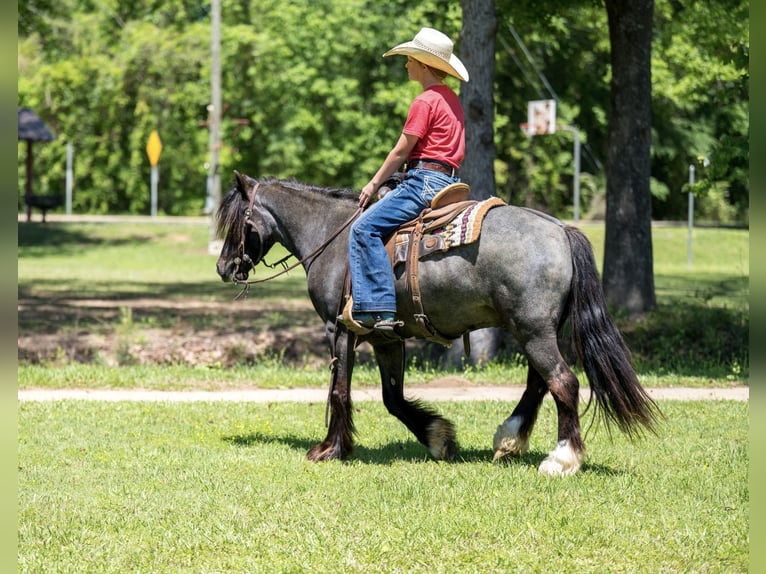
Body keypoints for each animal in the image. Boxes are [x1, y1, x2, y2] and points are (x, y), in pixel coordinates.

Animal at [215, 171, 660, 476]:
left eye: (238, 222)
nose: (223, 267)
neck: (331, 236)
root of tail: (561, 230)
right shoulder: (386, 339)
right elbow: (393, 398)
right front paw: (438, 437)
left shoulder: (338, 329)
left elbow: (339, 391)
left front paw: (330, 449)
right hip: (532, 329)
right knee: (540, 382)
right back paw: (509, 439)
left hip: (534, 331)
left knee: (562, 382)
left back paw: (561, 458)